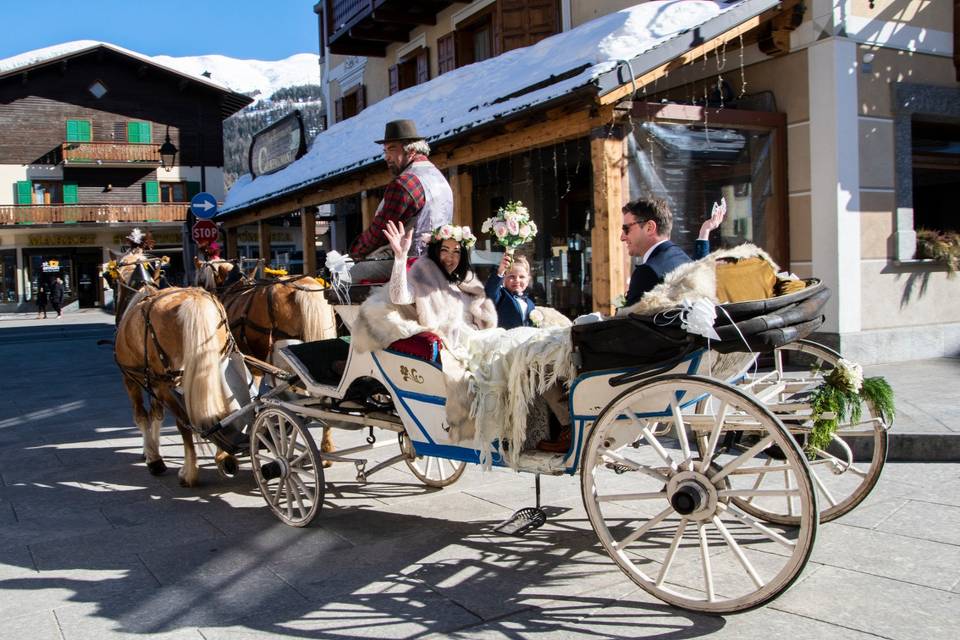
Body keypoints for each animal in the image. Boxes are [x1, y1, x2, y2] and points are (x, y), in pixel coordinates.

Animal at [108, 250, 235, 484]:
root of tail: (194, 300)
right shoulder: (152, 381)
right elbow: (156, 415)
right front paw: (151, 450)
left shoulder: (131, 378)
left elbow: (142, 416)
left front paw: (153, 458)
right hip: (217, 366)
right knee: (220, 411)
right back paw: (225, 457)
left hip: (168, 382)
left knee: (184, 422)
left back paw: (189, 472)